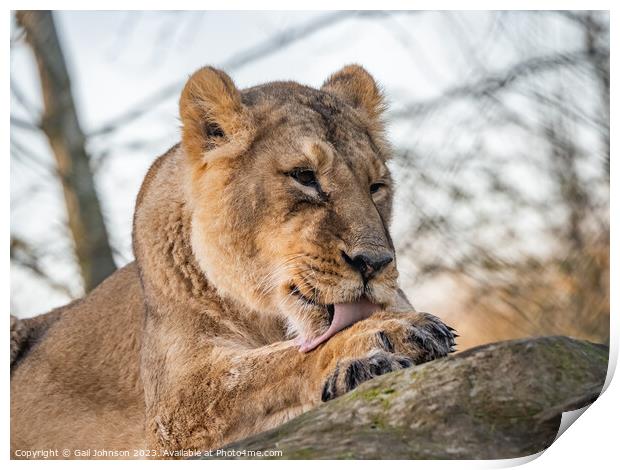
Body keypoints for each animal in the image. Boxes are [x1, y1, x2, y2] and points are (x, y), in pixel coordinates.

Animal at [9, 64, 456, 458]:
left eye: (376, 186)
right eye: (304, 176)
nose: (375, 262)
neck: (270, 317)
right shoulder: (174, 412)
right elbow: (275, 362)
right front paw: (384, 337)